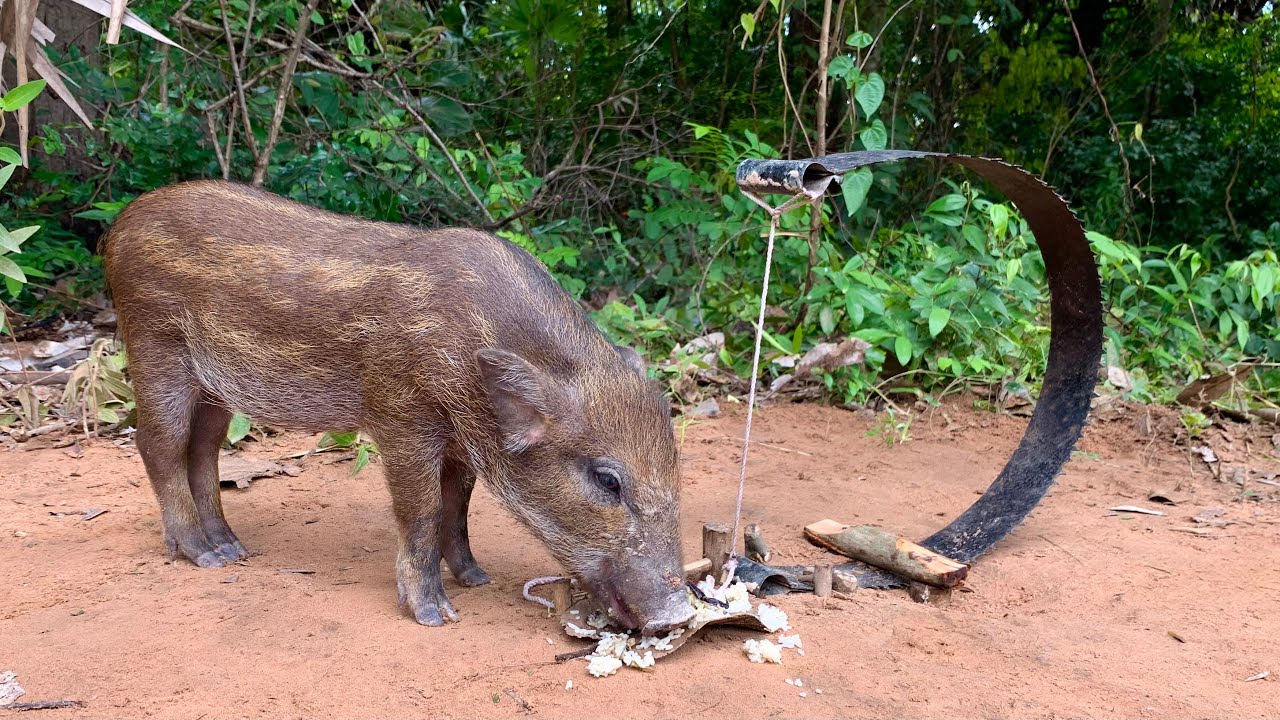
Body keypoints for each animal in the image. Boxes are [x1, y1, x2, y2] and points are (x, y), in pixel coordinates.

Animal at [101, 179, 694, 633]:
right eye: (607, 480)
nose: (679, 614)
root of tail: (119, 225)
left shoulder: (461, 440)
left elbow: (458, 507)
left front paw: (476, 579)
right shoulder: (401, 415)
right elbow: (423, 510)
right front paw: (436, 616)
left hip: (216, 387)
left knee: (203, 450)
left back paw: (233, 551)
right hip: (154, 346)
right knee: (157, 444)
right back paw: (201, 555)